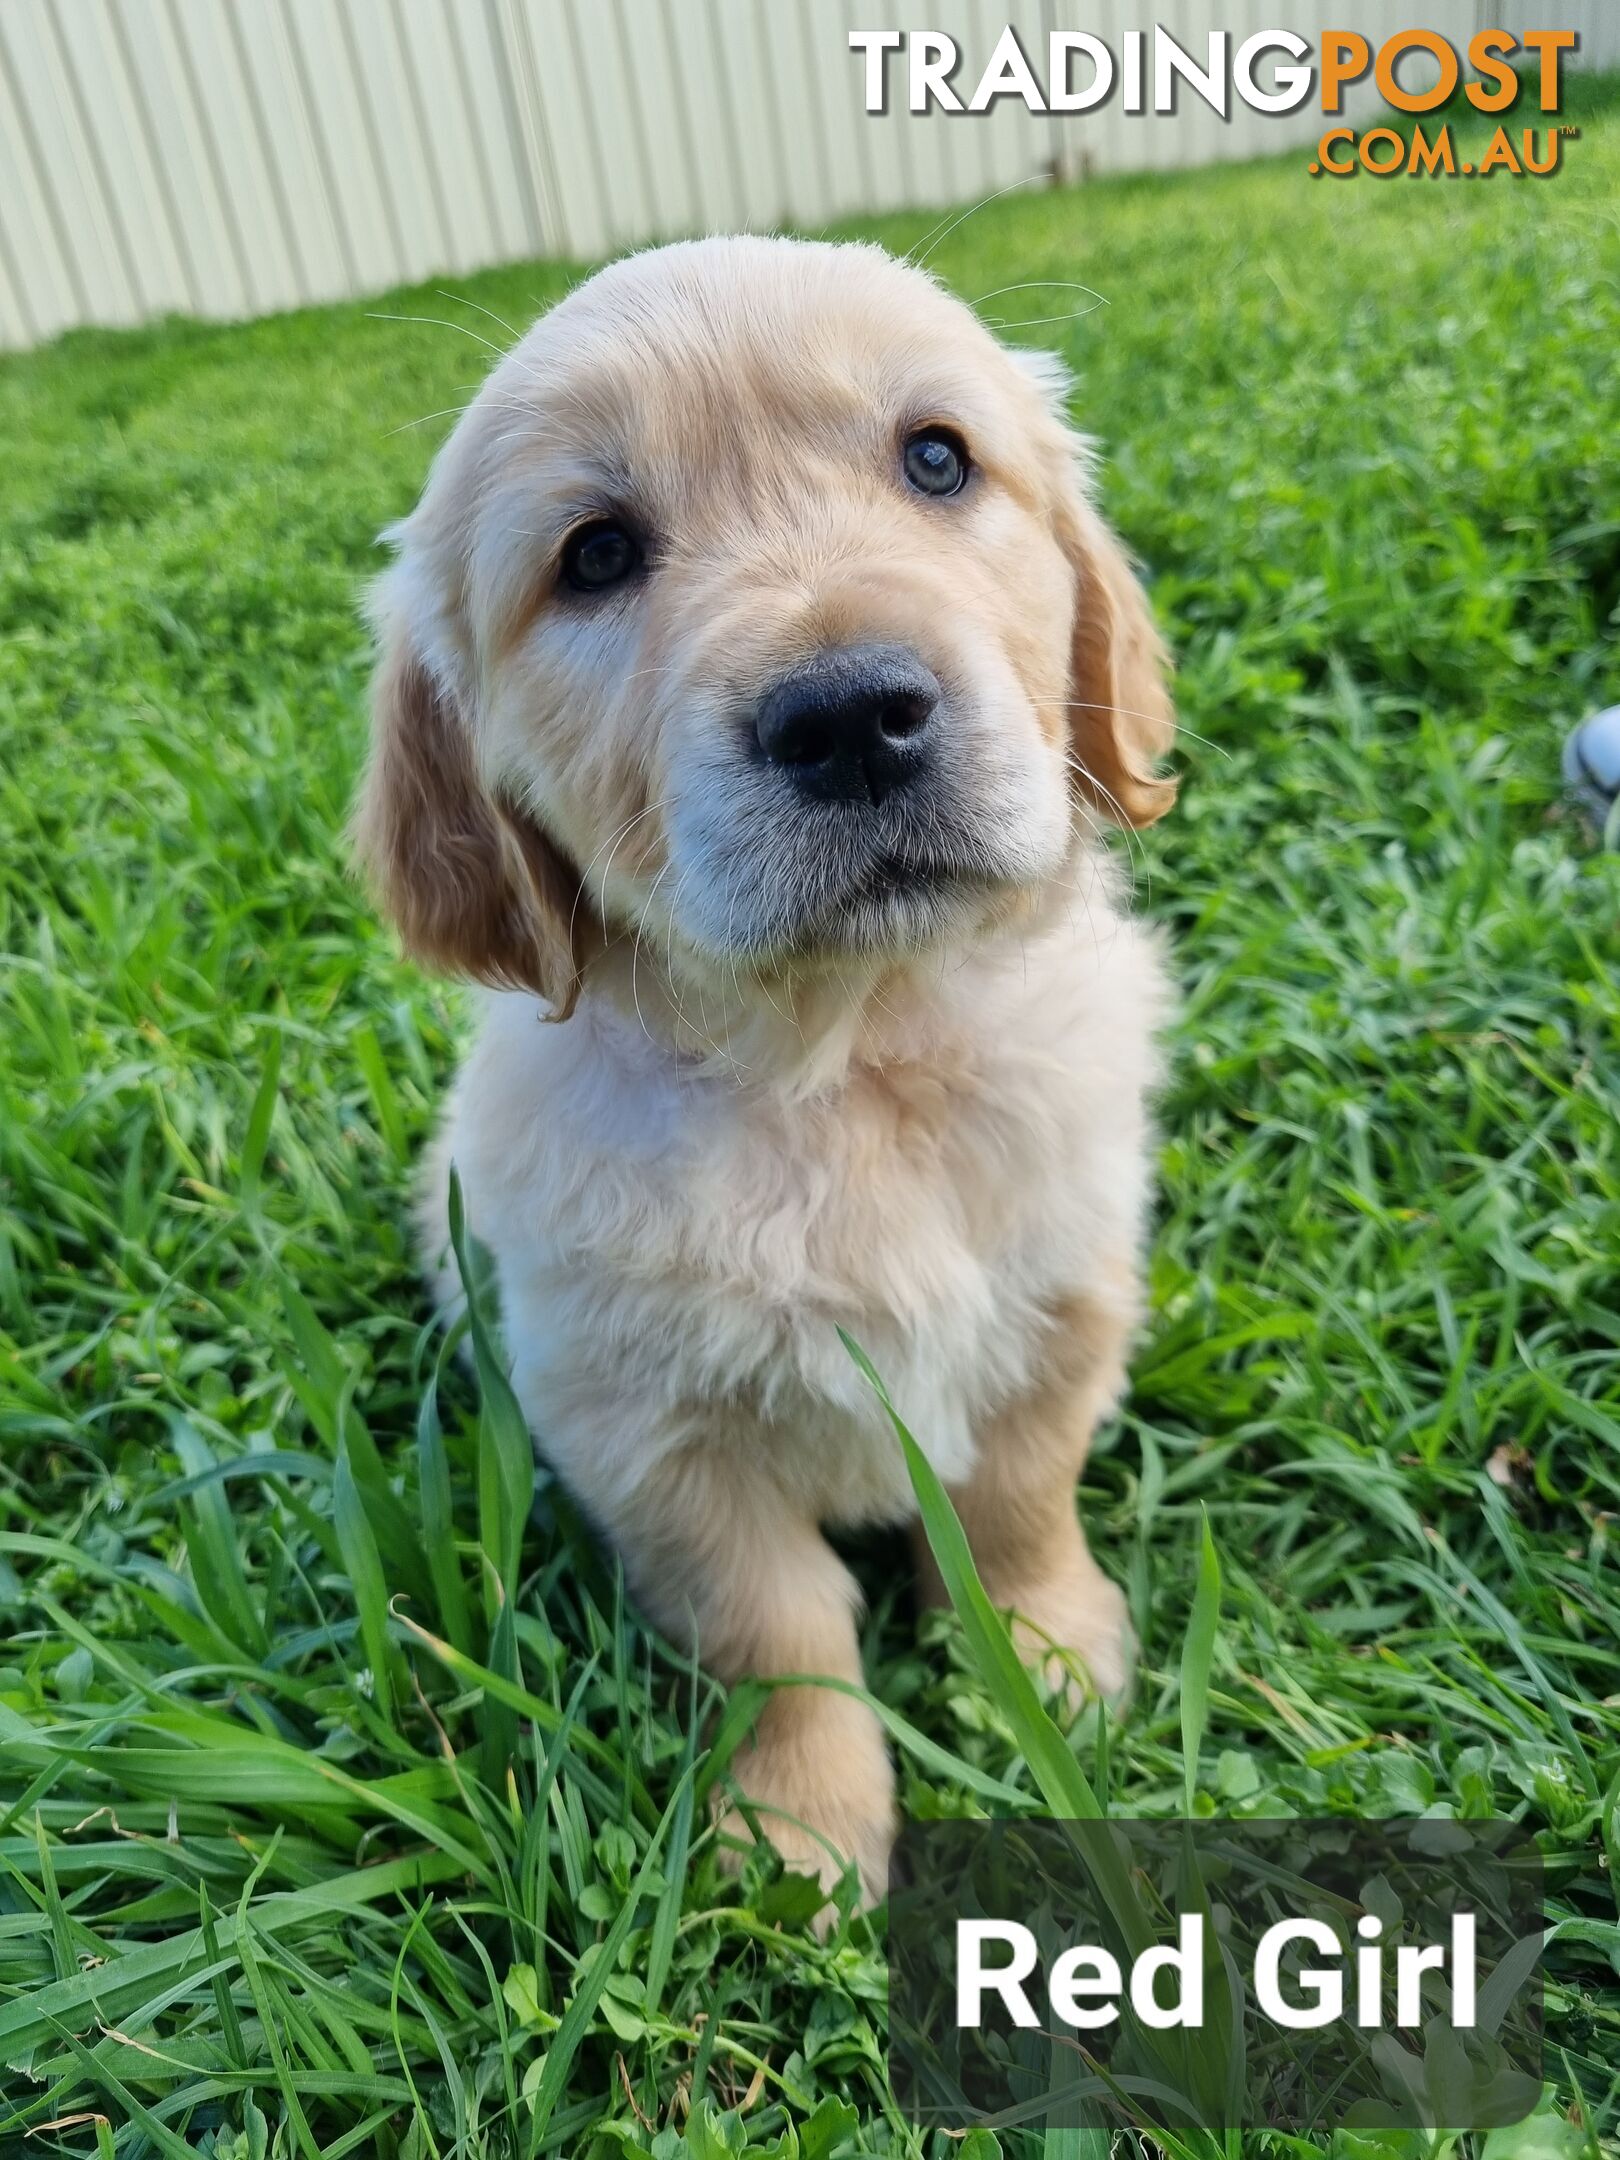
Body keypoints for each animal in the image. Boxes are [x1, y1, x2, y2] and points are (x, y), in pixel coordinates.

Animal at [354, 236, 1175, 1909]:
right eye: (597, 555)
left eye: (938, 460)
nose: (851, 713)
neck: (847, 1062)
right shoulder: (647, 1433)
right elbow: (777, 1626)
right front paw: (799, 1832)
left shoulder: (1067, 1298)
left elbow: (1018, 1500)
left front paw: (1054, 1662)